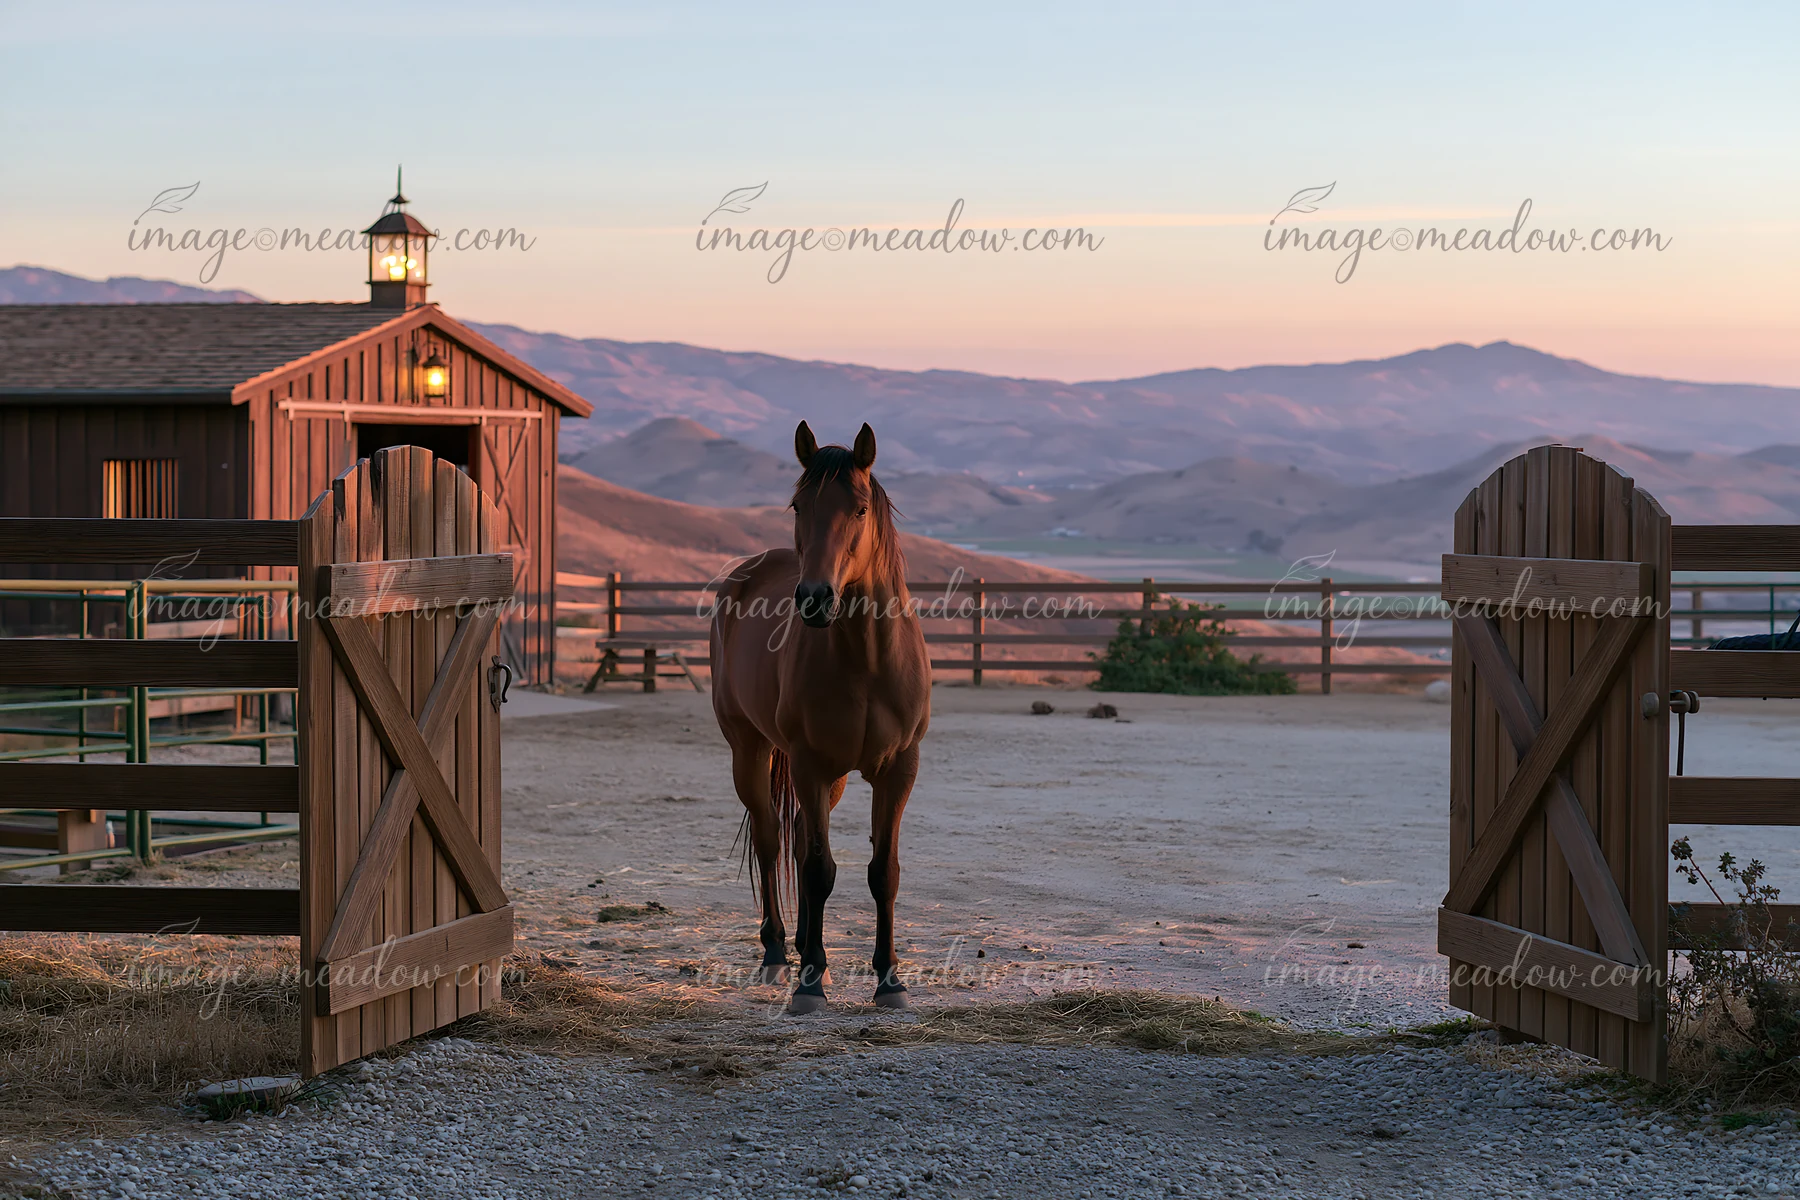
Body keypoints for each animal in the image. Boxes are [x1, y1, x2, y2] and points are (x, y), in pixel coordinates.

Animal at [709, 421, 931, 1014]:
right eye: (797, 505)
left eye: (859, 508)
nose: (813, 599)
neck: (868, 661)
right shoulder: (808, 763)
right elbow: (816, 869)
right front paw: (808, 983)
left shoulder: (899, 770)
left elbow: (883, 873)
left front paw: (889, 980)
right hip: (750, 752)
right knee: (772, 840)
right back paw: (779, 953)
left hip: (828, 779)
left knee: (800, 834)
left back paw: (813, 947)